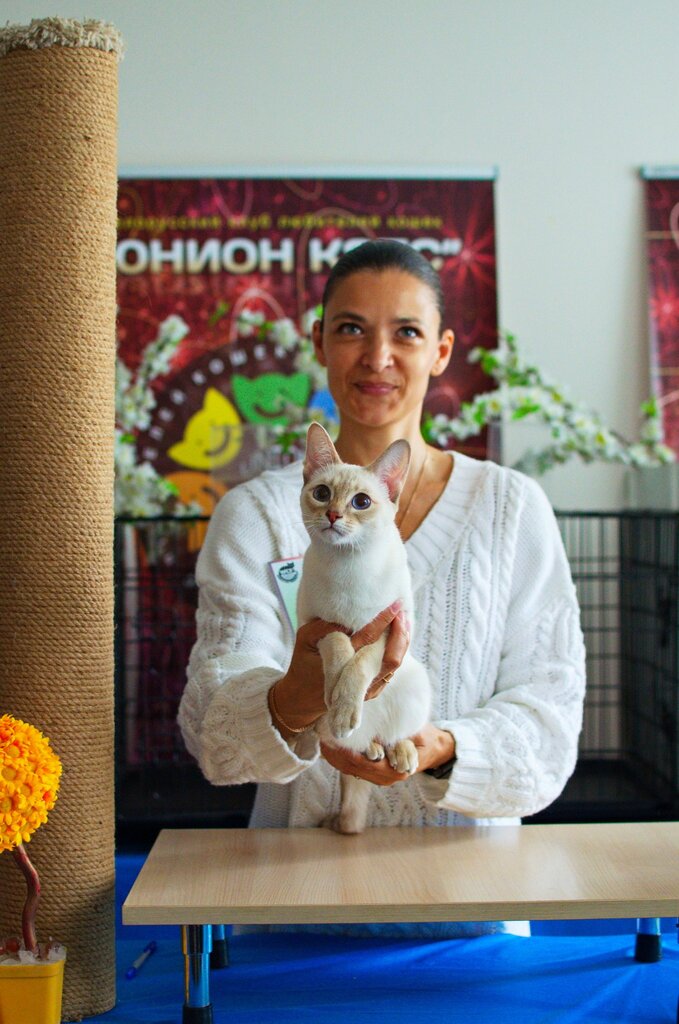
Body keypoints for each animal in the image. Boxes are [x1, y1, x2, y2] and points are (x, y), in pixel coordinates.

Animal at [297, 422, 431, 834]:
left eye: (361, 502)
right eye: (322, 494)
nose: (333, 515)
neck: (348, 564)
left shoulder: (388, 629)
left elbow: (359, 666)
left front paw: (344, 697)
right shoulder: (318, 625)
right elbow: (342, 647)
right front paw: (336, 696)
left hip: (414, 680)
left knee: (392, 734)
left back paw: (399, 751)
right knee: (352, 743)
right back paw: (364, 743)